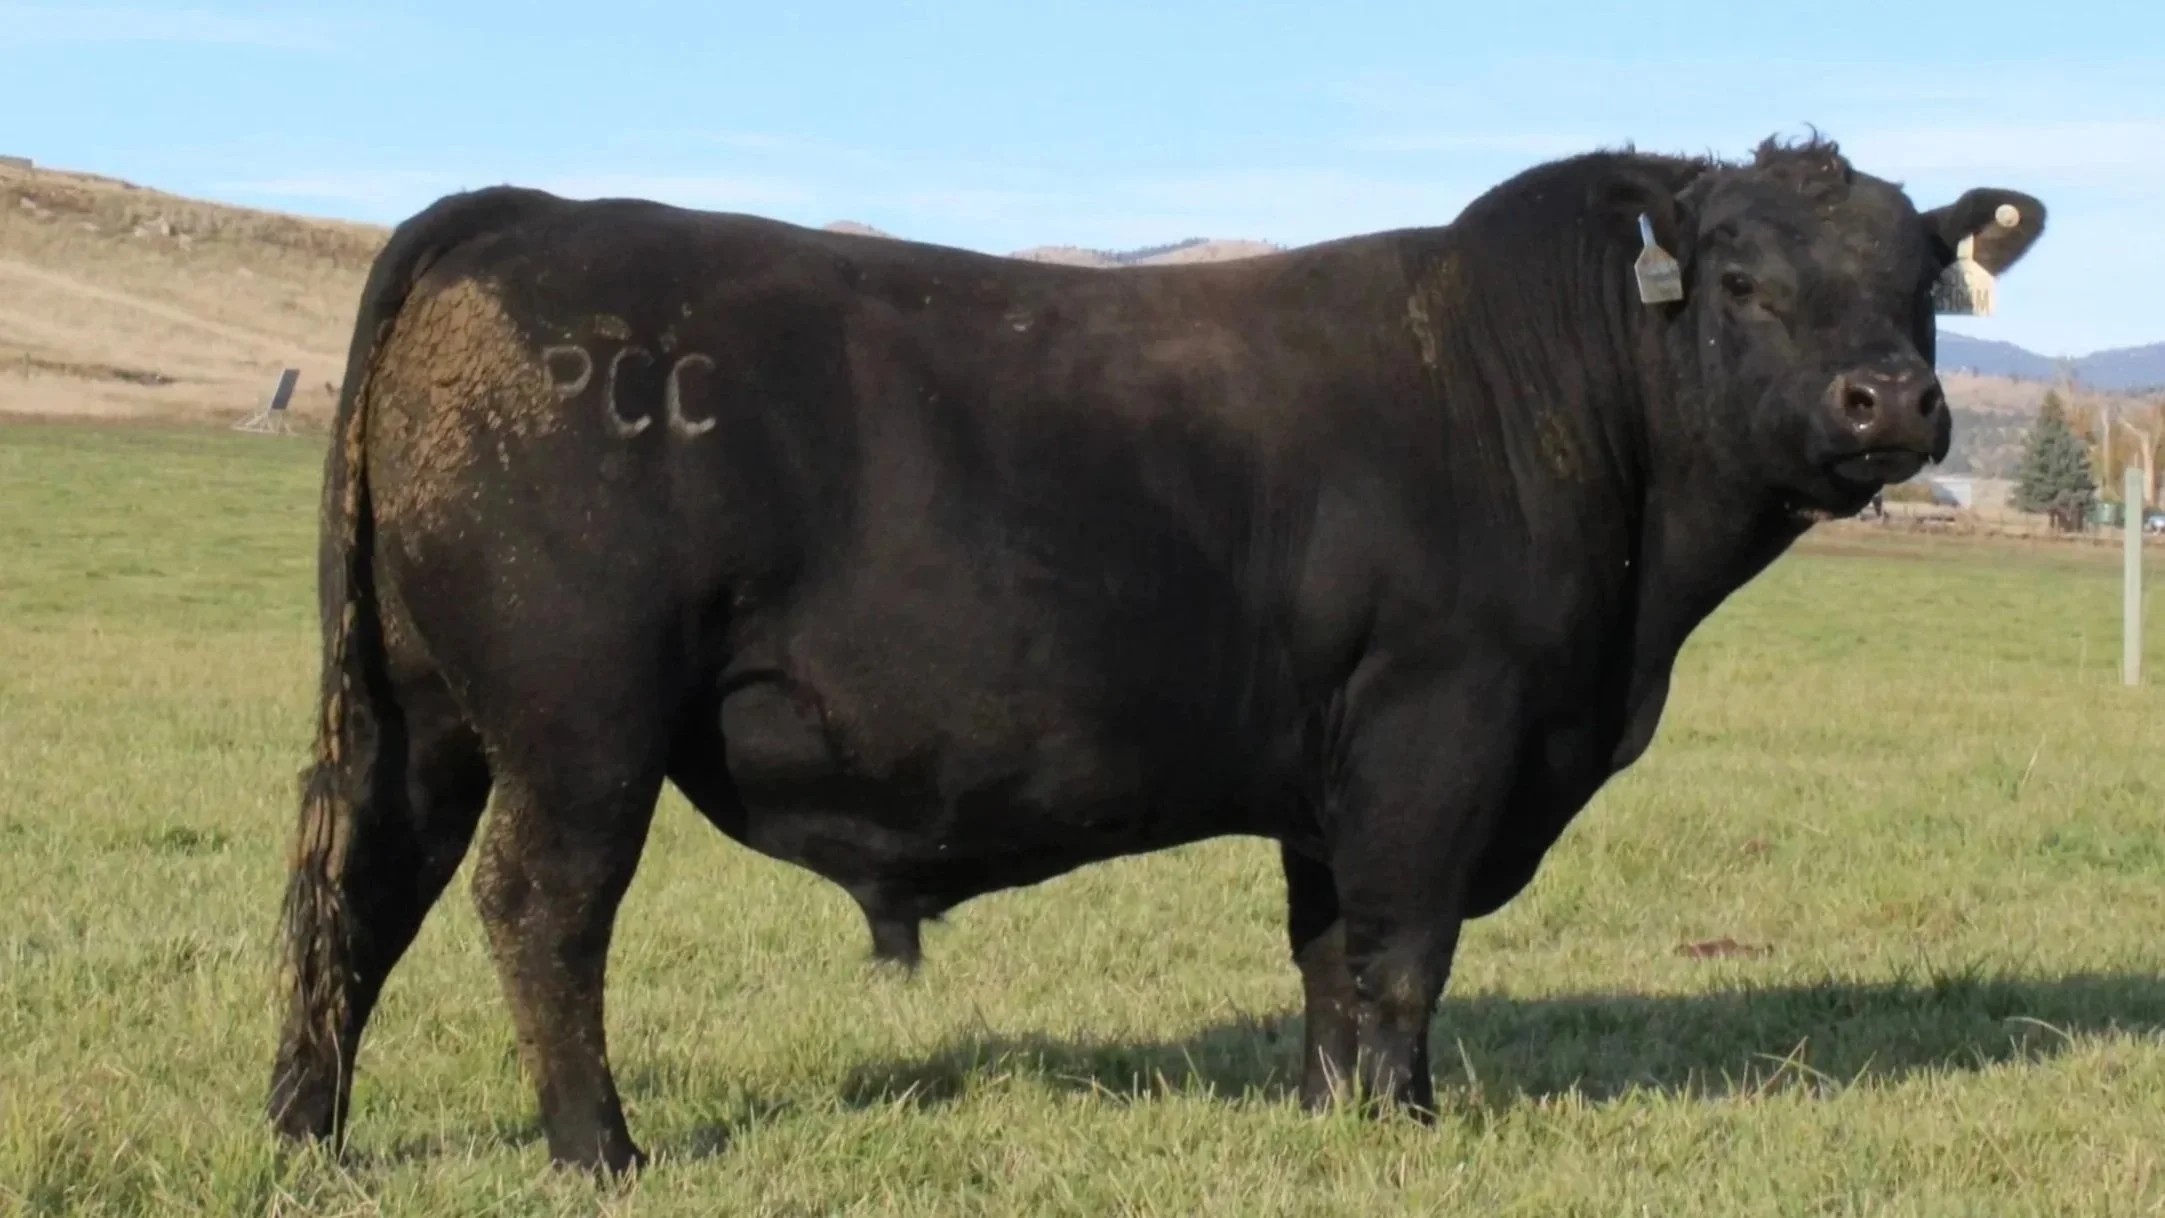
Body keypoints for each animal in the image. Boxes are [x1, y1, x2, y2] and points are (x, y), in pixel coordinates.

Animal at [264, 134, 2045, 1173]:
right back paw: (597, 1147)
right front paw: (1408, 1127)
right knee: (539, 909)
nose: (1891, 401)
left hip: (422, 712)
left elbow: (1331, 955)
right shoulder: (1441, 725)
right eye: (1740, 278)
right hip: (581, 724)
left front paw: (1340, 1119)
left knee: (359, 890)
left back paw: (309, 1137)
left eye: (1921, 285)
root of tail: (522, 212)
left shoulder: (1341, 760)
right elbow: (1404, 946)